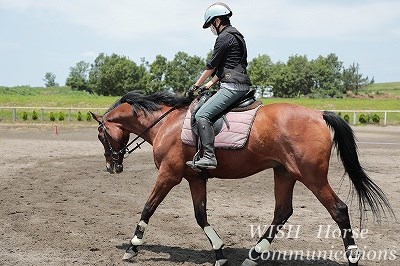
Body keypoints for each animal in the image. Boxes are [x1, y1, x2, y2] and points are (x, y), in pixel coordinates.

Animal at [90, 90, 394, 264]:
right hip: (285, 173)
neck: (166, 123)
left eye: (101, 135)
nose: (111, 167)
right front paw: (219, 253)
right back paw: (253, 255)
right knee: (282, 212)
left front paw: (133, 247)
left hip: (312, 176)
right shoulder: (195, 178)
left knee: (338, 209)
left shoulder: (169, 174)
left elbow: (148, 207)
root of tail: (318, 114)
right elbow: (200, 216)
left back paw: (352, 257)